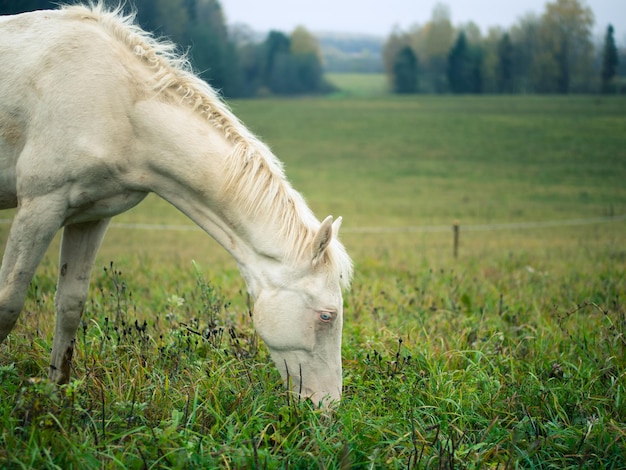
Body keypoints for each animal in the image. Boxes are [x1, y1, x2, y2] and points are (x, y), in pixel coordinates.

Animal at [0, 3, 352, 408]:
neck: (118, 103)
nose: (328, 408)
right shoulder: (40, 205)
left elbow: (70, 306)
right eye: (327, 316)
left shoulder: (91, 217)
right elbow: (7, 304)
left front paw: (56, 399)